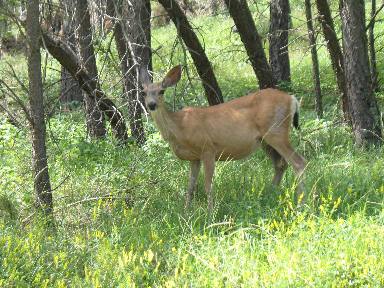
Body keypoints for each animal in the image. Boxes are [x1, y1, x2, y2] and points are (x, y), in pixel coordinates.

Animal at [141, 65, 306, 214]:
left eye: (161, 91)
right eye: (143, 93)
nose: (151, 104)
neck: (179, 127)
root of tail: (292, 99)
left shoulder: (207, 148)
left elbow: (208, 185)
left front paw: (210, 214)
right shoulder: (194, 158)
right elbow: (190, 187)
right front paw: (186, 212)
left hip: (276, 131)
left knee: (299, 163)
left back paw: (301, 204)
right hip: (265, 140)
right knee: (280, 164)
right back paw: (269, 195)